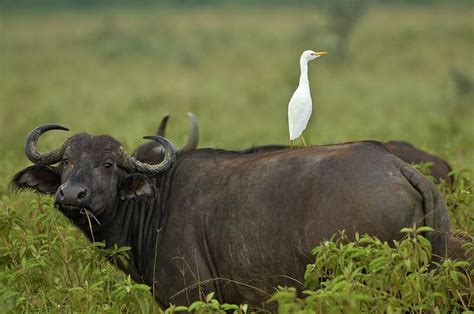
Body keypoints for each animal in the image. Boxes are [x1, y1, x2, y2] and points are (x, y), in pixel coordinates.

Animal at [10, 124, 448, 308]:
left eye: (108, 165)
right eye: (66, 161)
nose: (72, 194)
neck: (156, 203)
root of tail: (397, 166)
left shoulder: (191, 299)